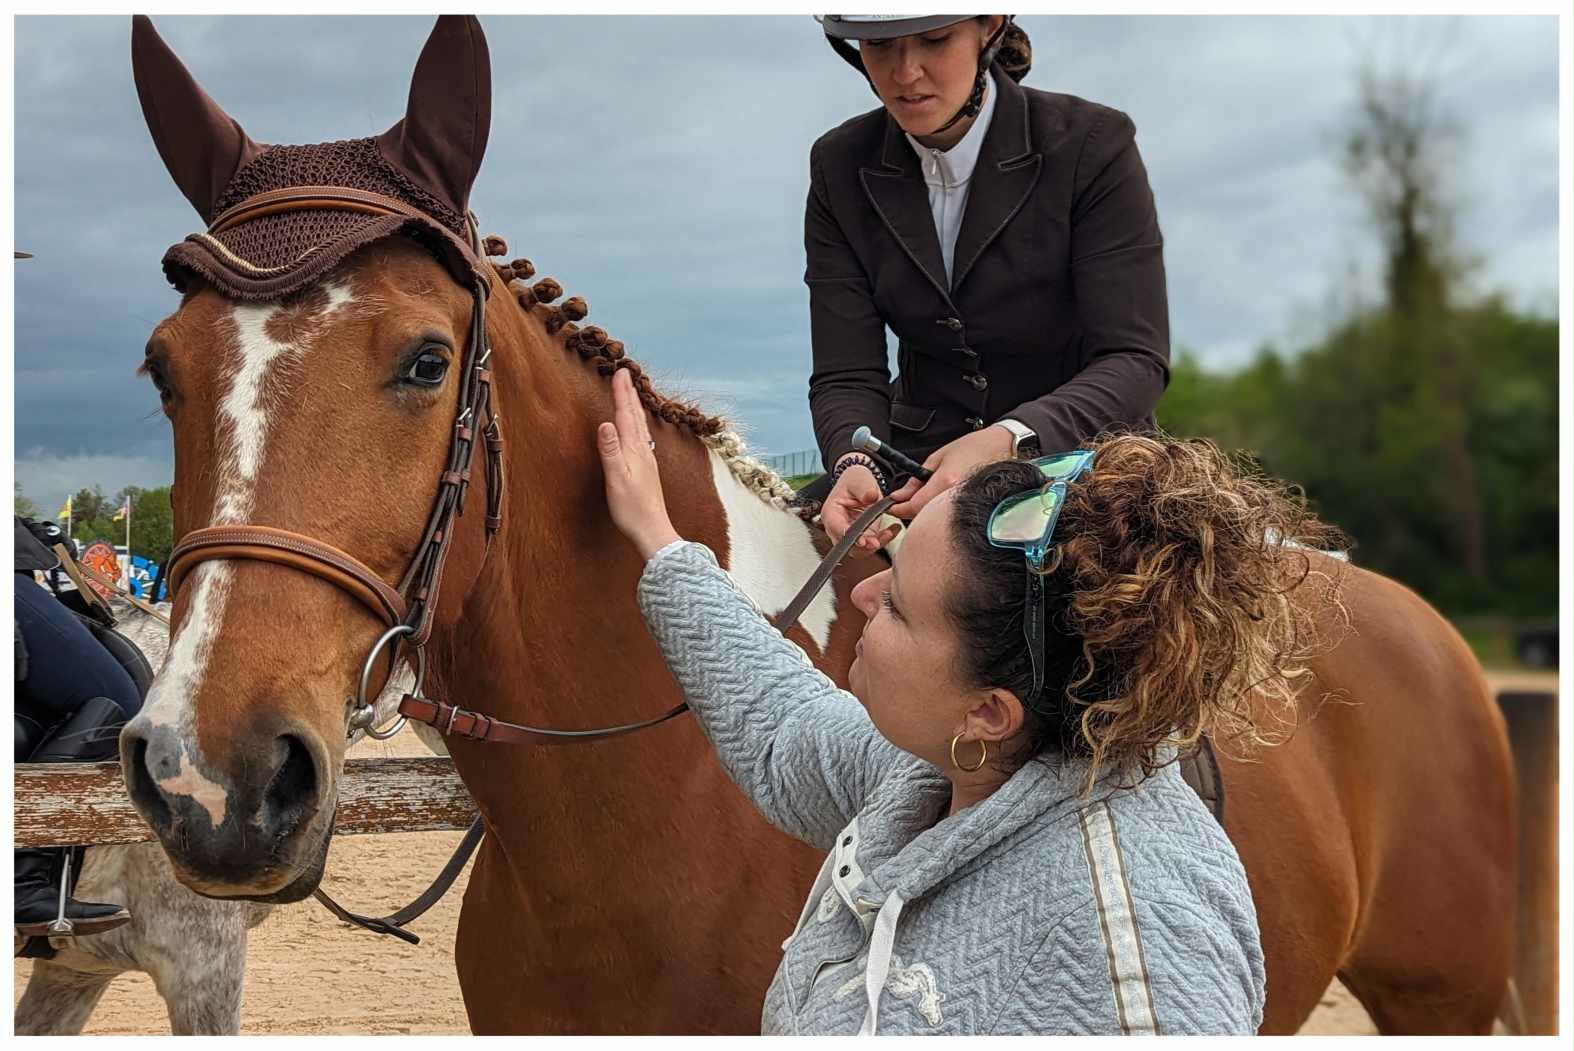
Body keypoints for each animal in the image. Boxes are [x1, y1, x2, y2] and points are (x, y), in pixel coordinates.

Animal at [117, 16, 1518, 1035]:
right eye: (161, 370)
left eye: (421, 361)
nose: (210, 783)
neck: (643, 812)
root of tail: (1419, 629)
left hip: (1435, 998)